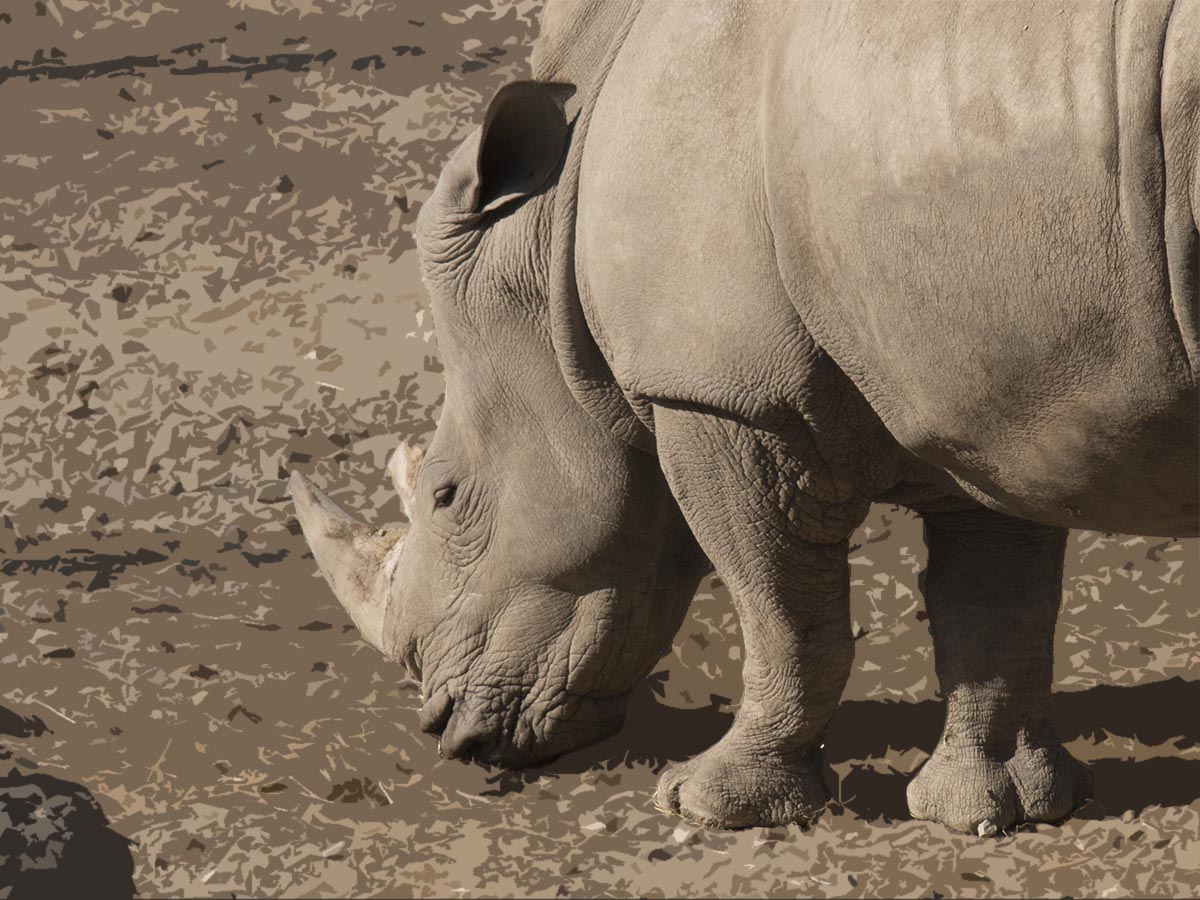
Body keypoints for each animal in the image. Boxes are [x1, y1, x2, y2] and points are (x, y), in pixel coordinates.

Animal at [288, 0, 1190, 840]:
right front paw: (993, 810)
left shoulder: (717, 392)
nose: (446, 730)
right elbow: (996, 597)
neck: (549, 235)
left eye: (446, 497)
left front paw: (710, 803)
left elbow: (778, 607)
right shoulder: (983, 379)